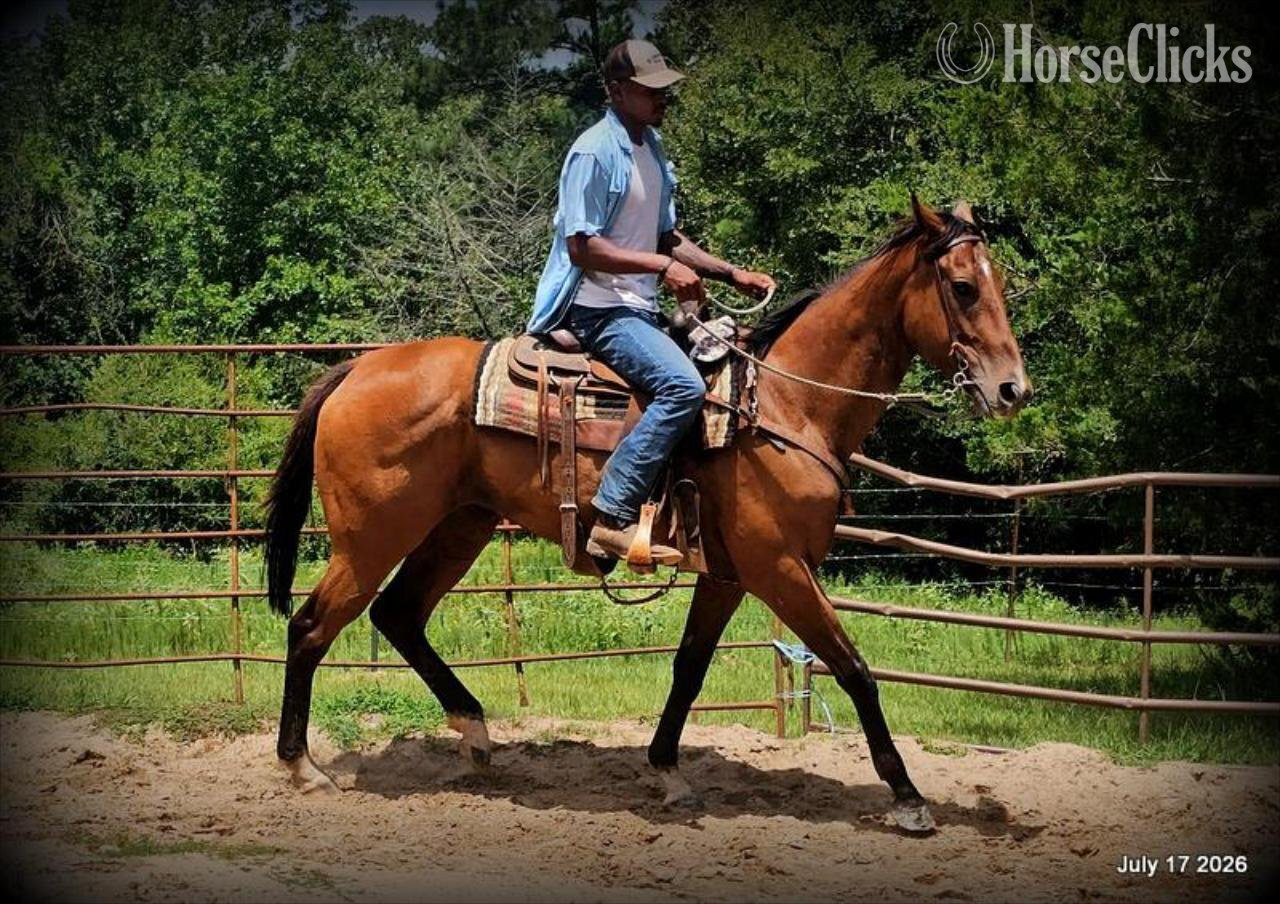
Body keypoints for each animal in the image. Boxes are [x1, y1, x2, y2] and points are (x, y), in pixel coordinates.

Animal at [264, 197, 1030, 833]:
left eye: (998, 284)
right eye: (964, 288)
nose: (1012, 389)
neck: (784, 407)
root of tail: (355, 370)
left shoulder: (727, 575)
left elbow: (689, 668)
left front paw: (668, 773)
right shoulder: (779, 569)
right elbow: (854, 668)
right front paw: (908, 799)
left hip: (461, 526)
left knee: (398, 615)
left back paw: (476, 735)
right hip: (371, 538)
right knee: (311, 626)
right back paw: (303, 767)